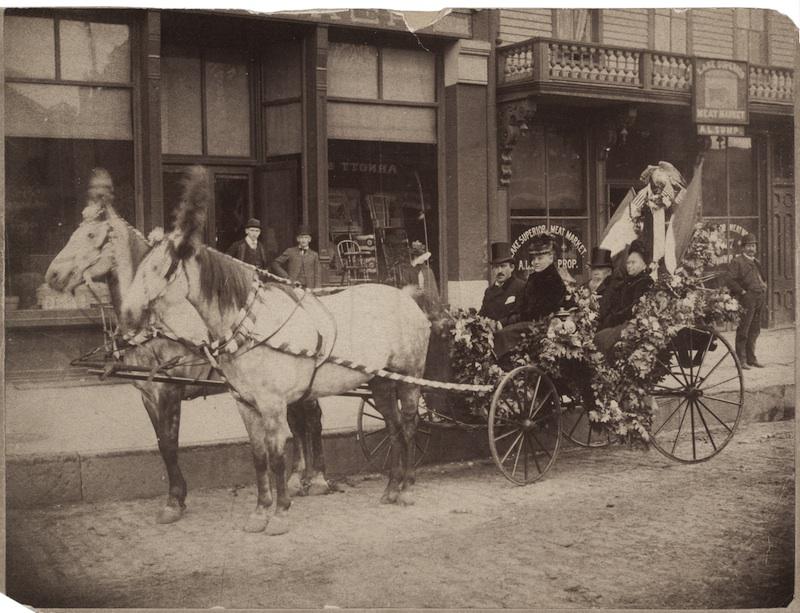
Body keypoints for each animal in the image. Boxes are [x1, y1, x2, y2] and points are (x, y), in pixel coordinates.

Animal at [44, 192, 332, 524]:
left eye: (91, 235)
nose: (53, 274)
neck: (154, 320)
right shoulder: (149, 393)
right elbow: (162, 443)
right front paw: (177, 497)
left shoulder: (169, 390)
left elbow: (170, 445)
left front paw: (174, 501)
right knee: (298, 424)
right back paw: (299, 477)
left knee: (311, 421)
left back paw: (318, 478)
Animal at [120, 165, 432, 532]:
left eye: (163, 268)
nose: (128, 313)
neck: (251, 326)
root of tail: (407, 297)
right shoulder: (246, 404)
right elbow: (259, 457)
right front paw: (259, 513)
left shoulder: (272, 404)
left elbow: (278, 455)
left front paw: (280, 513)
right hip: (381, 382)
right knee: (394, 427)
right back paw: (391, 489)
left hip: (409, 379)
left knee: (409, 425)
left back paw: (407, 489)